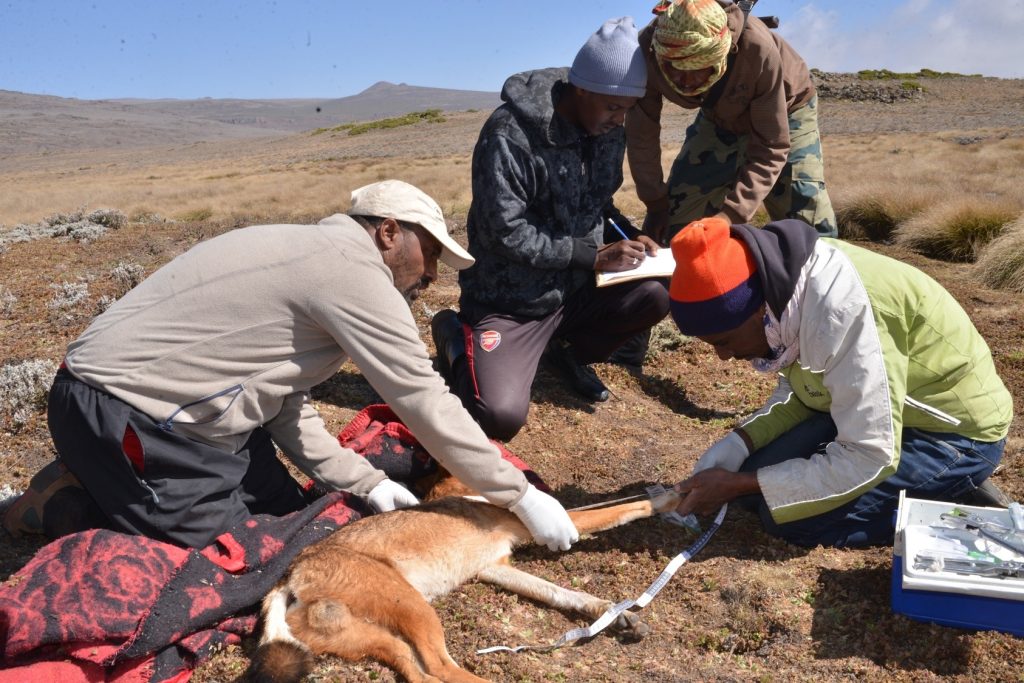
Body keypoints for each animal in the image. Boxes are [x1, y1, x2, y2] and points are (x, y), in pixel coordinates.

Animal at [246, 474, 681, 683]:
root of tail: (290, 574)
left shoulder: (496, 566)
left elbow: (561, 593)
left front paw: (612, 613)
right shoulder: (535, 532)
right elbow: (620, 509)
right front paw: (665, 499)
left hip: (369, 635)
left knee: (419, 672)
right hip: (415, 608)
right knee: (441, 667)